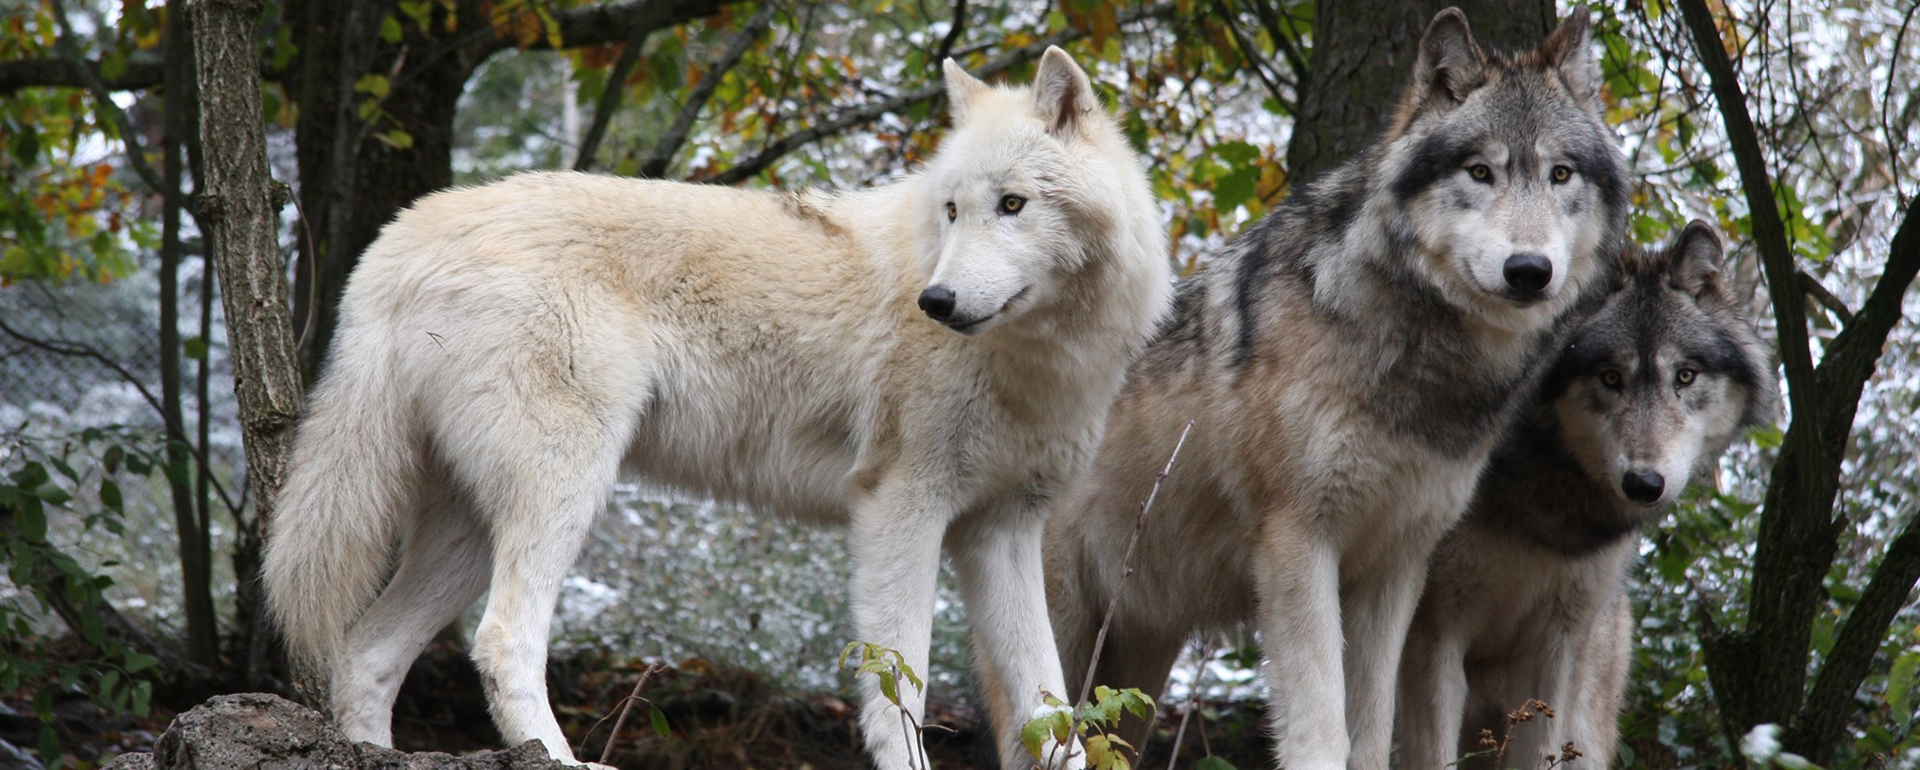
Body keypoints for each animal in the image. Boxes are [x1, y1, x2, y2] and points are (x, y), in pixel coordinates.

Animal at [259, 49, 1167, 768]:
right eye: (953, 210)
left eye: (1012, 204)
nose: (935, 301)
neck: (1041, 359)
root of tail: (401, 233)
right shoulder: (900, 510)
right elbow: (896, 693)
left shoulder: (1003, 532)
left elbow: (1054, 711)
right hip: (560, 494)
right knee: (502, 639)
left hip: (470, 532)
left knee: (367, 653)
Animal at [1044, 12, 1628, 768]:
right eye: (1481, 171)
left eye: (1560, 174)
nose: (1530, 270)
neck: (1416, 361)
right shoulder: (1298, 543)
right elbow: (1322, 728)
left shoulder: (1396, 569)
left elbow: (1371, 730)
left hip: (1138, 662)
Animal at [1397, 218, 1766, 764]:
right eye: (1610, 378)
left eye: (1685, 376)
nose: (1644, 484)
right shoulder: (1435, 632)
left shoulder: (1555, 646)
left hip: (1587, 726)